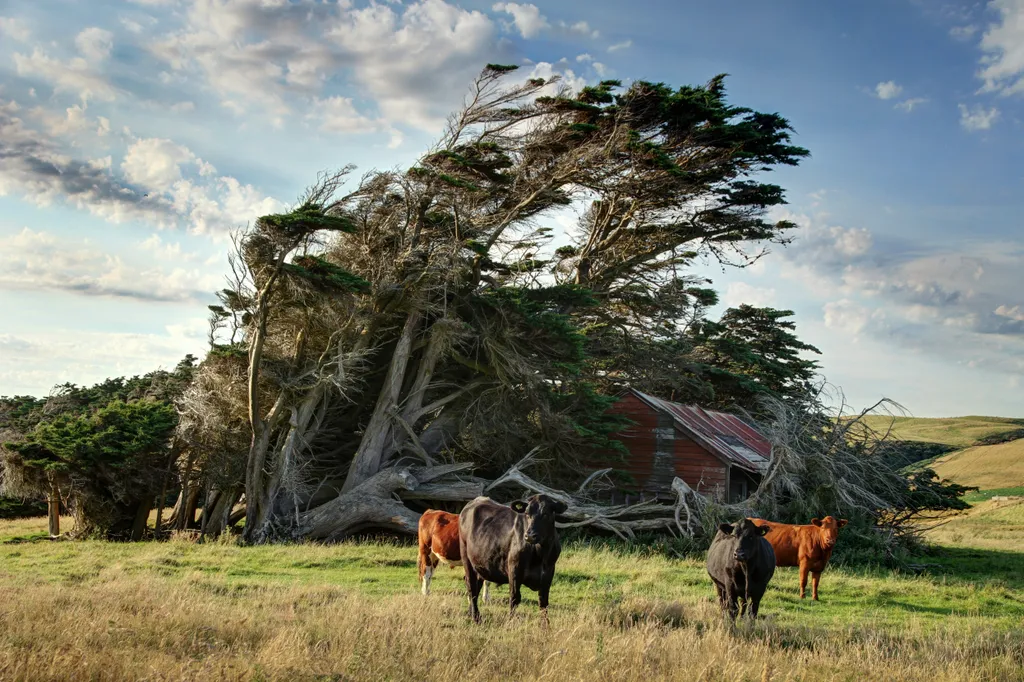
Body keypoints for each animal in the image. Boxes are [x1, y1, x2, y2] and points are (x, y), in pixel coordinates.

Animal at [458, 493, 569, 622]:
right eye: (527, 513)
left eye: (546, 514)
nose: (529, 535)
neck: (540, 553)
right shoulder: (514, 569)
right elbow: (515, 598)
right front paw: (510, 621)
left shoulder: (549, 572)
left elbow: (543, 602)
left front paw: (546, 625)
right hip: (466, 557)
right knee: (471, 586)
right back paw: (476, 618)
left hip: (480, 564)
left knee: (477, 586)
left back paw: (472, 613)